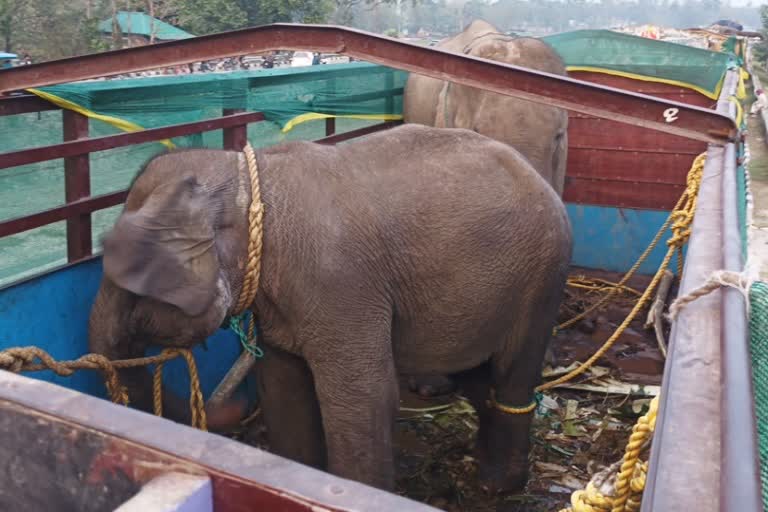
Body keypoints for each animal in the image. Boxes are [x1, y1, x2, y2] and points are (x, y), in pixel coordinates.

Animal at [88, 124, 568, 492]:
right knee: (476, 372)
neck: (246, 178)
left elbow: (365, 396)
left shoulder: (341, 284)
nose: (232, 407)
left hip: (541, 277)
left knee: (513, 373)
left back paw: (496, 485)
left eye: (133, 292)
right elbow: (283, 385)